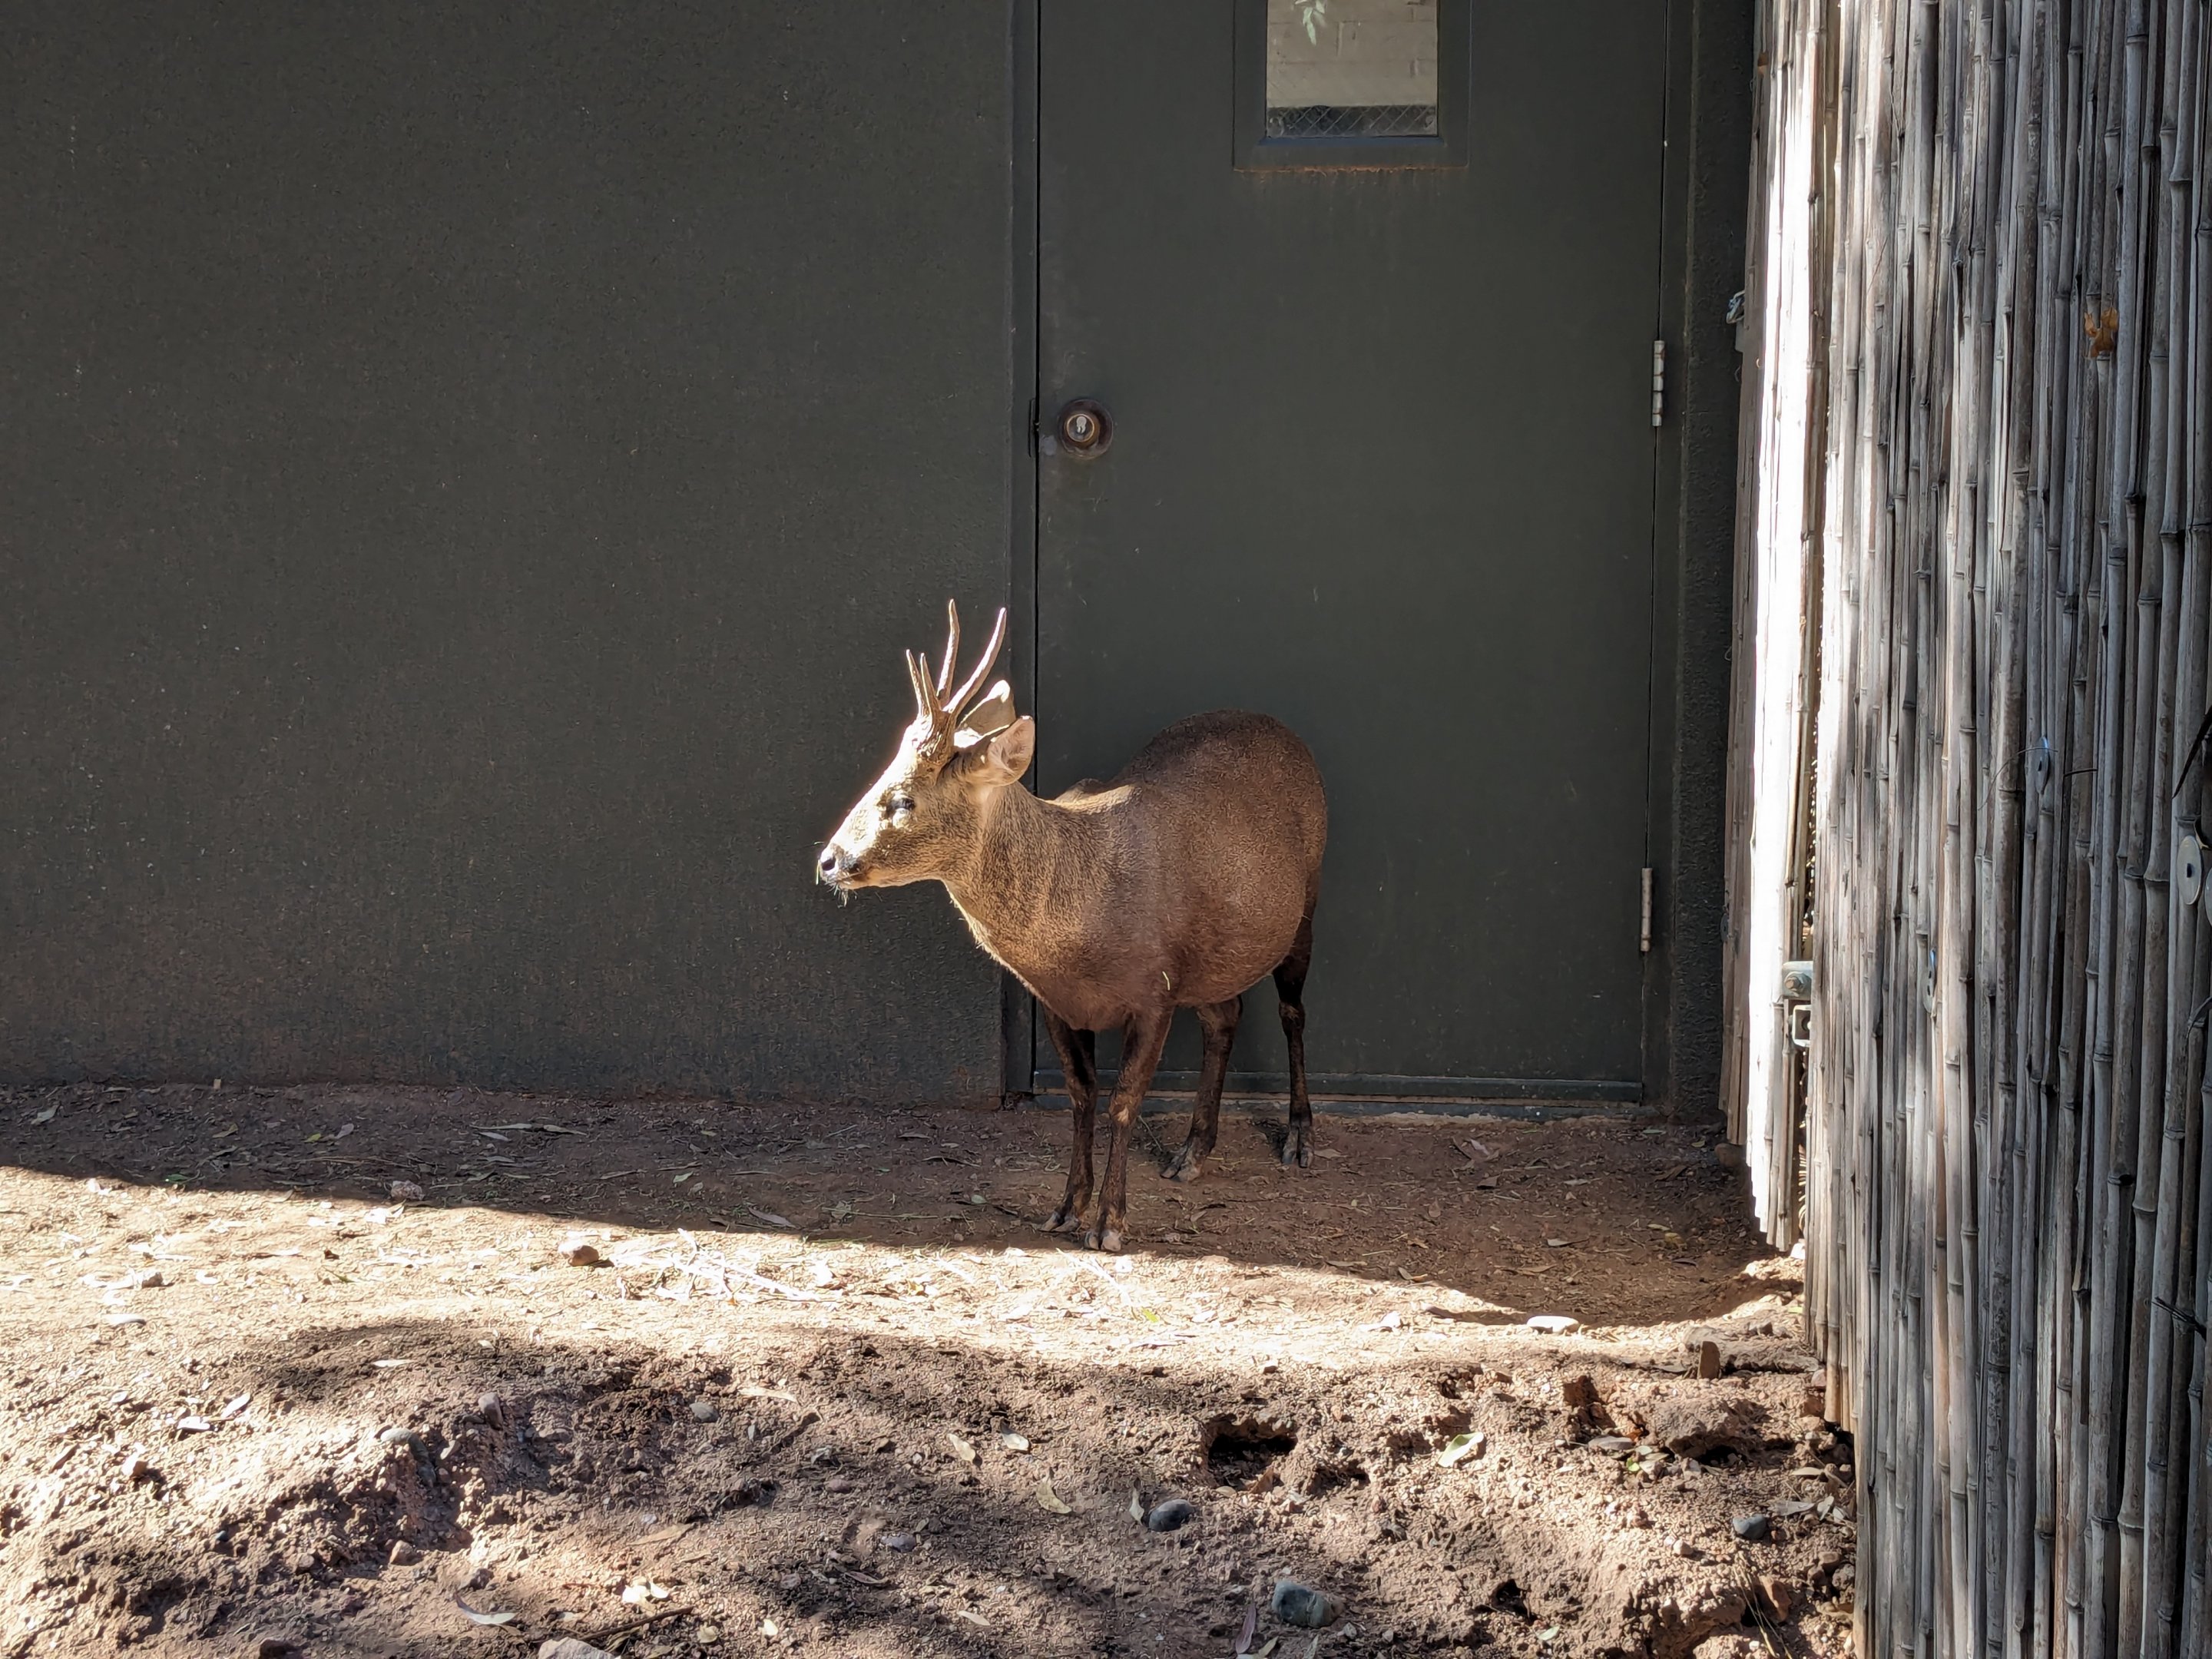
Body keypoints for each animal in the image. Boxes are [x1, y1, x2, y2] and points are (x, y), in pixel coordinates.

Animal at [817, 601, 1328, 1252]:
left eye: (904, 799)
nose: (829, 860)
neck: (1076, 929)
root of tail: (1283, 730)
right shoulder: (1058, 1003)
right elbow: (1082, 1097)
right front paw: (1065, 1208)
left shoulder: (1153, 989)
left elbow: (1124, 1101)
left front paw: (1110, 1221)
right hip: (1213, 956)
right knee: (1225, 1015)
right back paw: (1192, 1151)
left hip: (1306, 900)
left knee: (1291, 1012)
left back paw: (1299, 1137)